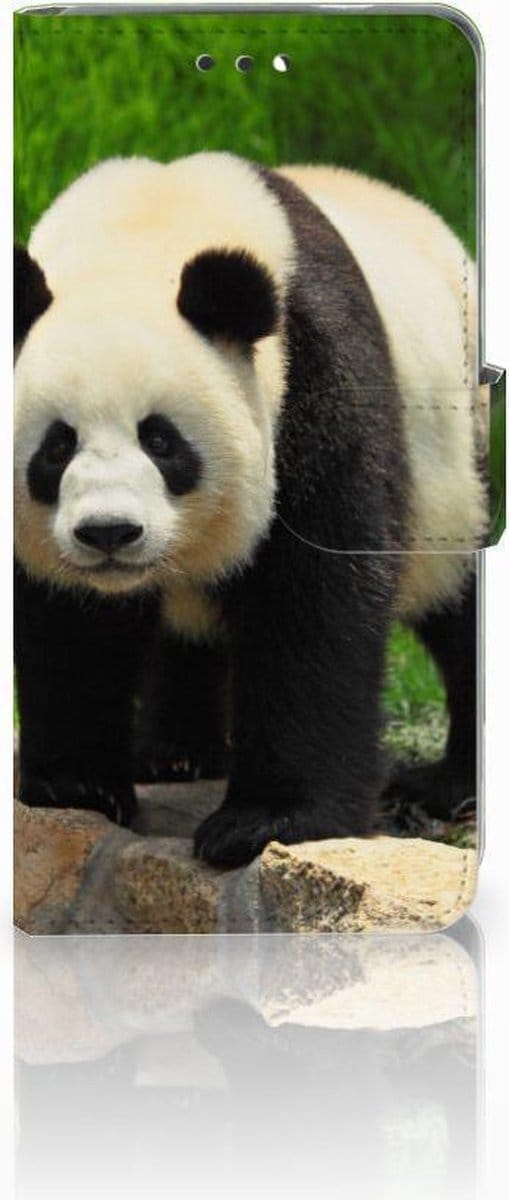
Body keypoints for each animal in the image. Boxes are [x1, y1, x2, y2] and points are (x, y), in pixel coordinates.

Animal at [14, 152, 487, 867]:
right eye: (57, 445)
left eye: (161, 440)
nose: (109, 533)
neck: (143, 233)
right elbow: (67, 619)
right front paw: (77, 785)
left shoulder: (313, 378)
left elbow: (314, 599)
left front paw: (266, 820)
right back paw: (176, 752)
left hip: (456, 473)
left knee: (458, 598)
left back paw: (447, 785)